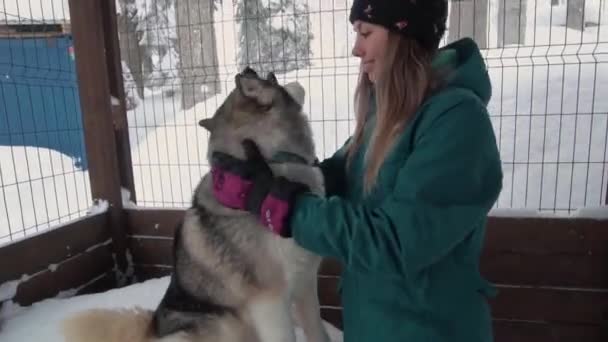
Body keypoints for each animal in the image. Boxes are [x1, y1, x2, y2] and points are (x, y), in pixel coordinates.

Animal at [60, 67, 332, 342]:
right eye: (268, 79)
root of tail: (151, 329)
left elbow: (318, 331)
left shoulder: (305, 285)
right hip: (224, 323)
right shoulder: (270, 303)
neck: (273, 161)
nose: (248, 69)